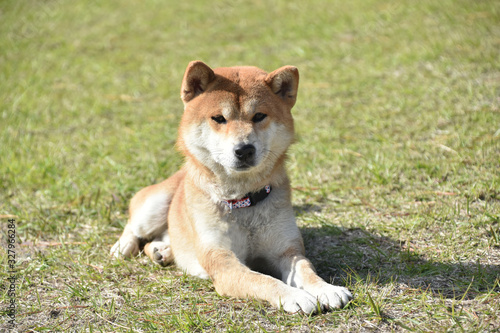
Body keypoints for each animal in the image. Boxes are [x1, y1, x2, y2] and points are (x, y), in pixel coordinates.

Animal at [110, 61, 352, 312]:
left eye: (259, 116)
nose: (244, 149)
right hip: (155, 206)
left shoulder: (286, 251)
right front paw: (296, 296)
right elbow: (264, 280)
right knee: (134, 226)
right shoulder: (224, 261)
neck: (243, 201)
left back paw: (163, 251)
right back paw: (124, 246)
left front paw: (327, 289)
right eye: (218, 118)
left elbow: (306, 270)